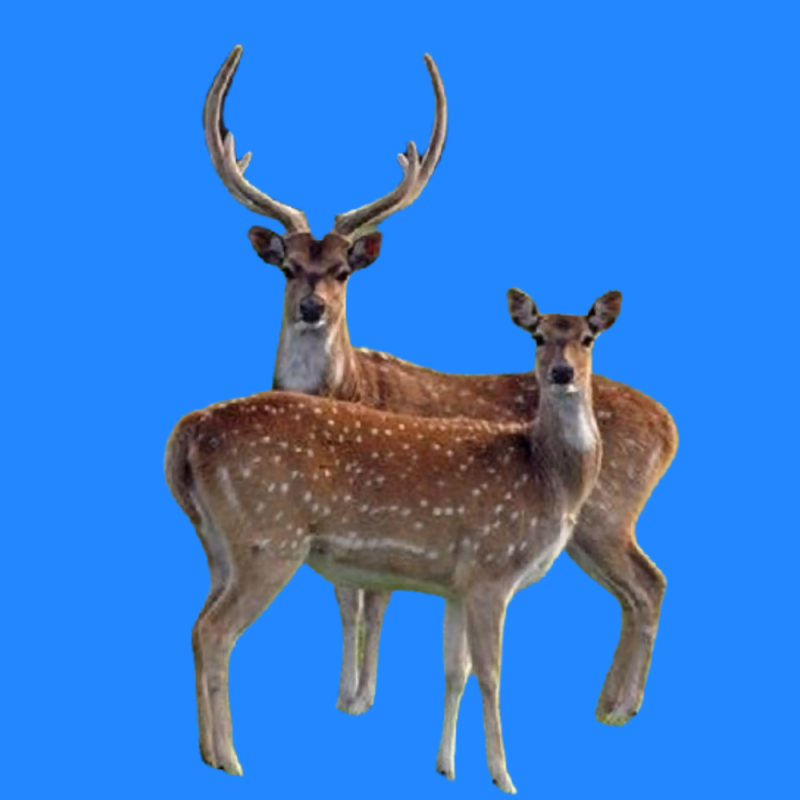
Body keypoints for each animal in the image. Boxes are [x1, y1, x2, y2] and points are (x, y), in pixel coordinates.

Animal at [166, 288, 623, 792]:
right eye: (538, 336)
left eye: (588, 337)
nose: (562, 373)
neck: (547, 476)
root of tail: (187, 431)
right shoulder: (492, 570)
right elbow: (491, 675)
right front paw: (503, 776)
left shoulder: (458, 586)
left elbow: (454, 671)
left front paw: (446, 767)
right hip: (269, 540)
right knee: (216, 630)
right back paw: (231, 759)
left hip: (218, 545)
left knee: (195, 626)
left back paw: (207, 753)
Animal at [202, 45, 678, 725]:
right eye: (288, 266)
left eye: (343, 269)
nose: (312, 308)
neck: (346, 389)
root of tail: (670, 426)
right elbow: (349, 595)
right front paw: (347, 698)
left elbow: (370, 599)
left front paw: (361, 699)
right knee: (641, 586)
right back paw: (612, 703)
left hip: (609, 513)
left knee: (649, 583)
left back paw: (617, 707)